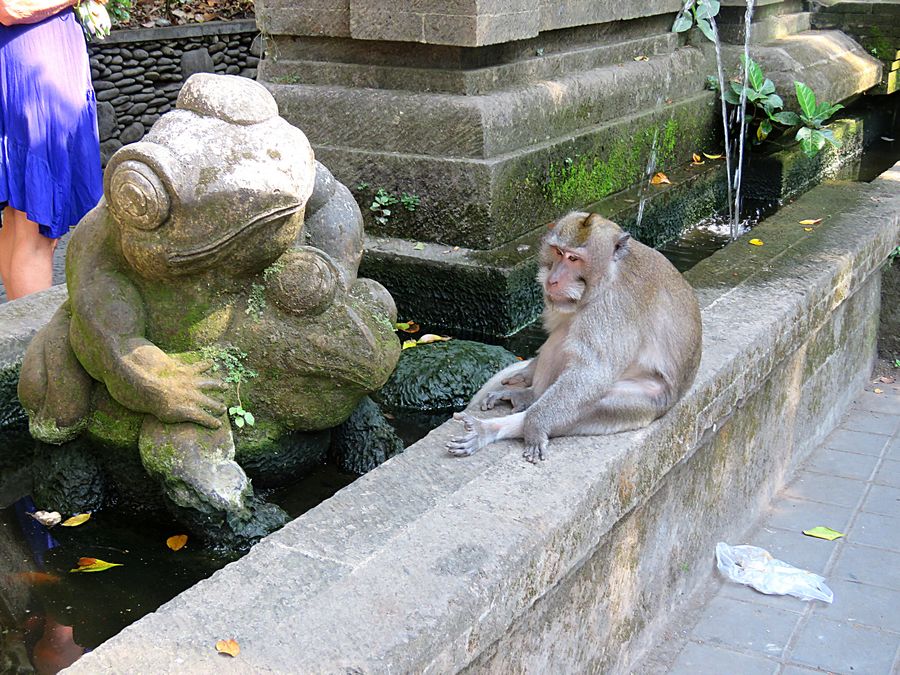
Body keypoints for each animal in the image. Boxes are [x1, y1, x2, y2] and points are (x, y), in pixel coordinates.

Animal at [447, 212, 702, 463]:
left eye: (573, 258)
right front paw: (526, 373)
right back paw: (528, 396)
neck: (610, 273)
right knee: (563, 333)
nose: (552, 280)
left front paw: (536, 424)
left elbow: (591, 373)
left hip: (646, 402)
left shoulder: (611, 307)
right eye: (559, 253)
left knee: (592, 402)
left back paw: (498, 427)